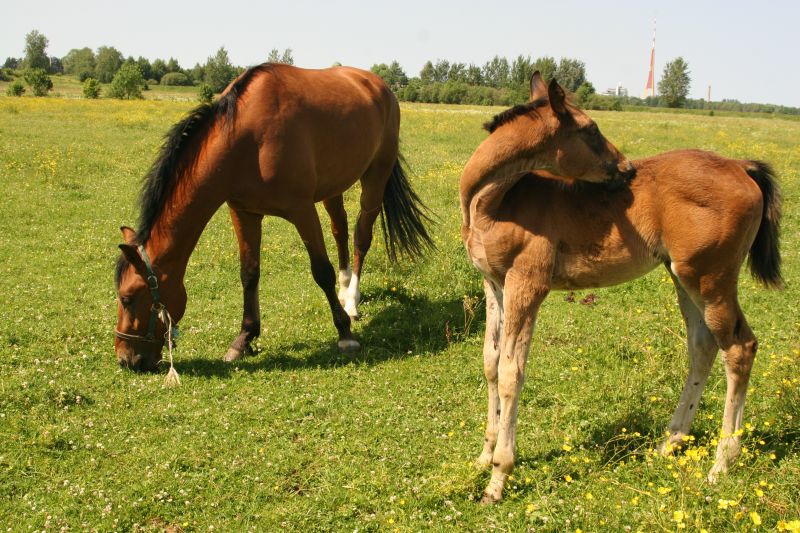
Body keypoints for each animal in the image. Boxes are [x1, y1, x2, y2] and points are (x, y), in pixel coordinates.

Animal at [114, 64, 432, 372]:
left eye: (127, 298)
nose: (125, 359)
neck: (246, 140)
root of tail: (379, 85)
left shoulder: (302, 210)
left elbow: (321, 271)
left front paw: (345, 335)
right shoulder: (244, 213)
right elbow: (249, 273)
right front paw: (244, 338)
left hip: (376, 176)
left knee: (361, 236)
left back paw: (351, 301)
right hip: (333, 187)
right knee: (340, 228)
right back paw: (344, 292)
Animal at [460, 95, 782, 502]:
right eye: (592, 129)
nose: (626, 168)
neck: (494, 201)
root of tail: (741, 166)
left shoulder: (527, 284)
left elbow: (510, 372)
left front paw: (498, 477)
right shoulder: (494, 284)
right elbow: (490, 362)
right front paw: (483, 456)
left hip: (711, 278)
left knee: (740, 348)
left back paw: (722, 463)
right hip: (683, 276)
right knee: (703, 346)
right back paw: (671, 442)